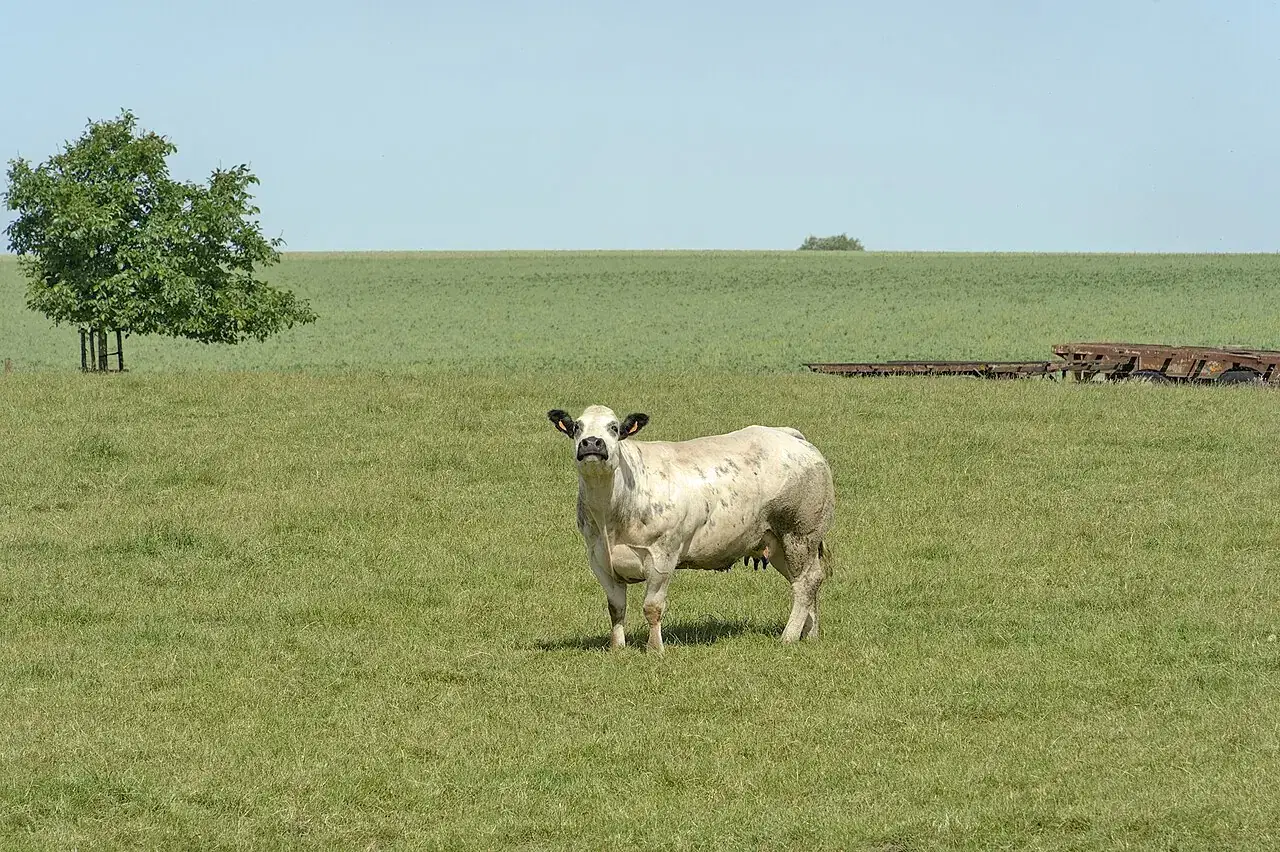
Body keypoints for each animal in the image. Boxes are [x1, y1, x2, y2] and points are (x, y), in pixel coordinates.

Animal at [547, 405, 835, 652]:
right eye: (576, 427)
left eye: (614, 428)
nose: (592, 443)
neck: (612, 513)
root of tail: (789, 435)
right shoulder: (599, 559)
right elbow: (616, 608)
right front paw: (617, 648)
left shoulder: (662, 556)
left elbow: (652, 607)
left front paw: (655, 649)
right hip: (777, 543)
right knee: (808, 582)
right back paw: (809, 634)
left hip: (799, 533)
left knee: (806, 583)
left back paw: (788, 636)